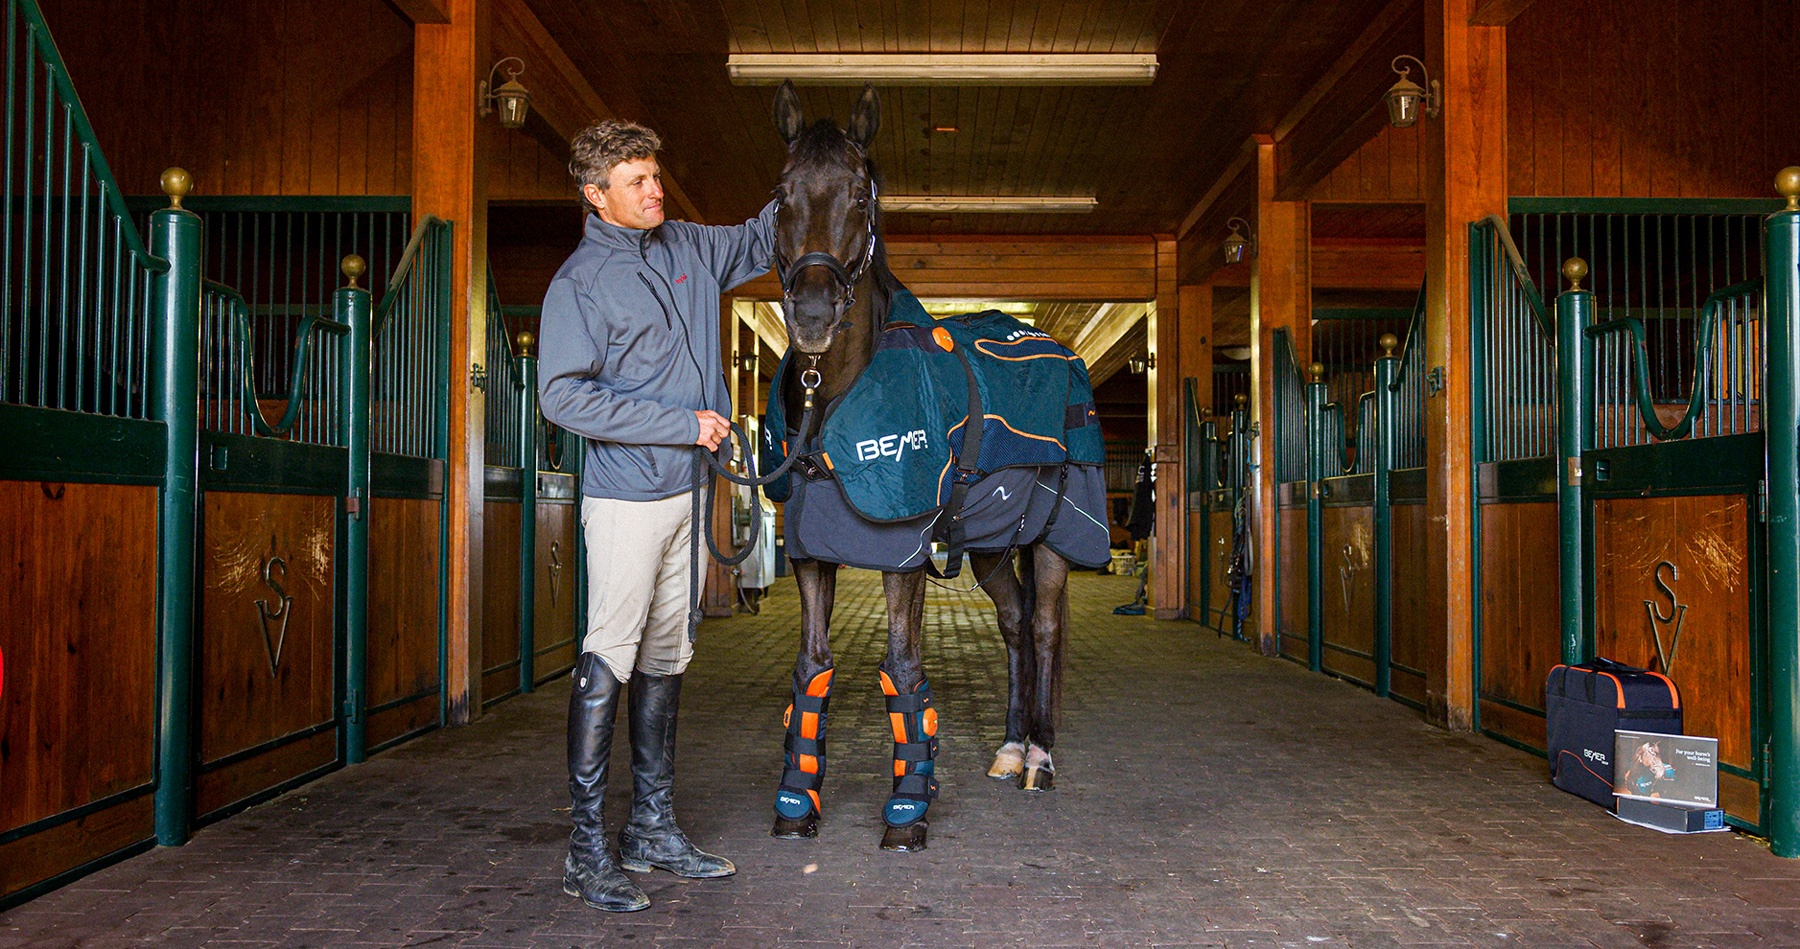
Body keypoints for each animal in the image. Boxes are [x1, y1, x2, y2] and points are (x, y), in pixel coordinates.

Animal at [752, 81, 1101, 853]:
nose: (813, 313)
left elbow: (905, 668)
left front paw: (908, 808)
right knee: (1013, 624)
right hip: (995, 546)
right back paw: (1008, 750)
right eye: (781, 194)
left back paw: (1040, 757)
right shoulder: (812, 551)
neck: (832, 398)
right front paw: (795, 803)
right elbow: (811, 668)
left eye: (860, 195)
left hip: (1055, 537)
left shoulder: (902, 550)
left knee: (1043, 628)